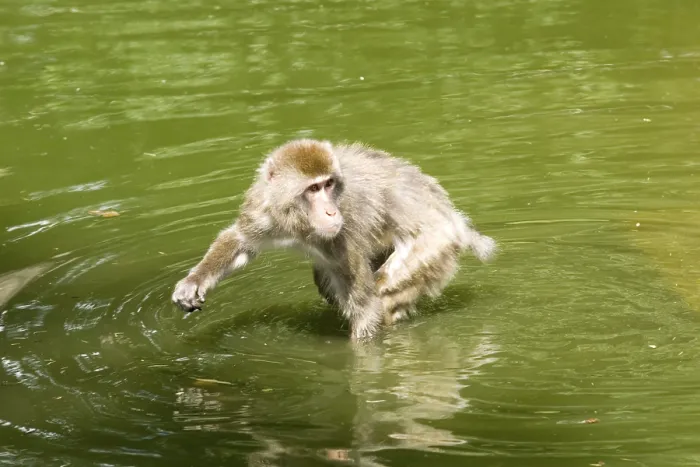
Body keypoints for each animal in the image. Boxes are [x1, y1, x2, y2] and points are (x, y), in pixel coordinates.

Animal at [171, 139, 497, 341]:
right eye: (313, 188)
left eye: (329, 184)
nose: (330, 211)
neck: (298, 222)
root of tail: (452, 217)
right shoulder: (262, 209)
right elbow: (240, 241)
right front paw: (194, 282)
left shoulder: (343, 231)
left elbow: (367, 307)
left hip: (434, 244)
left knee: (388, 290)